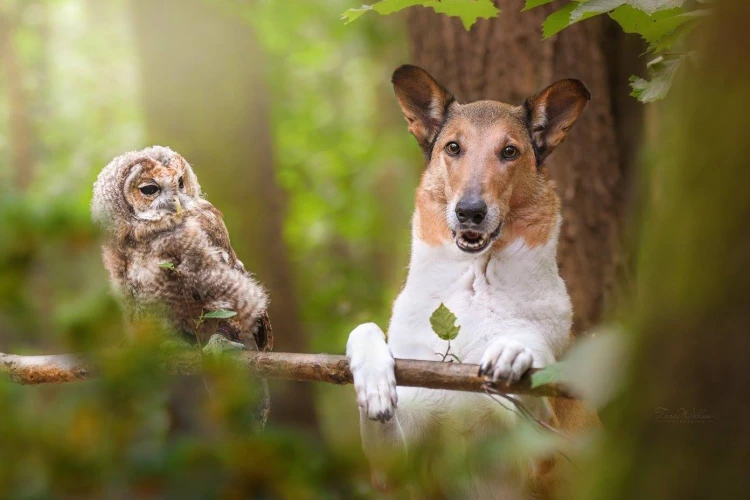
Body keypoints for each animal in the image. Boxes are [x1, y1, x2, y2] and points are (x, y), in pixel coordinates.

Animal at [350, 66, 604, 500]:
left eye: (510, 152)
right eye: (453, 147)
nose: (470, 211)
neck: (474, 283)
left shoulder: (542, 459)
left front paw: (514, 352)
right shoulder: (395, 469)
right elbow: (363, 330)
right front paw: (374, 384)